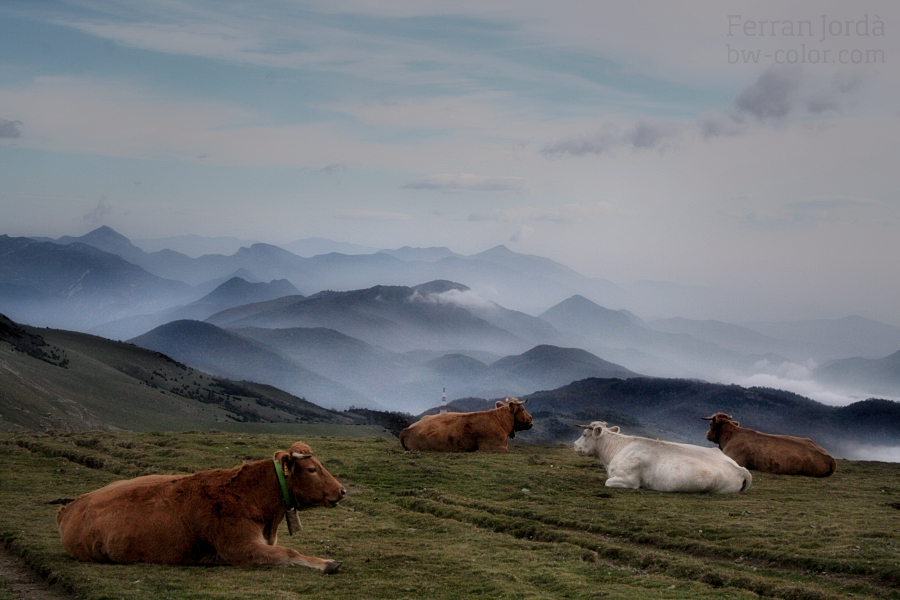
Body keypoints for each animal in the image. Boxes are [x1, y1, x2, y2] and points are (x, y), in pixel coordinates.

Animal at [56, 440, 344, 572]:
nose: (342, 490)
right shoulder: (240, 548)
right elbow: (289, 552)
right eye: (312, 469)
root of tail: (70, 507)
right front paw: (326, 563)